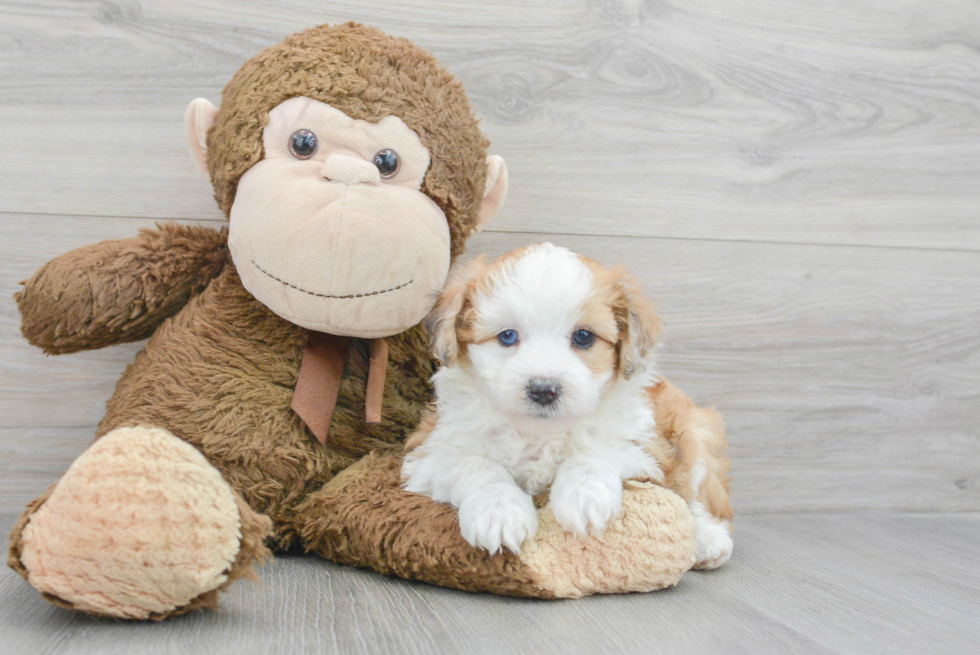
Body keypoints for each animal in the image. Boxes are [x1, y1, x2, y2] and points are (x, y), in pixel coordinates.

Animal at [402, 243, 732, 572]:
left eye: (583, 337)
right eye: (507, 336)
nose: (543, 389)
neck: (540, 431)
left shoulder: (647, 450)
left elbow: (594, 453)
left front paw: (585, 496)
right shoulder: (430, 453)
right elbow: (478, 466)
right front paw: (499, 511)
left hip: (694, 431)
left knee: (695, 496)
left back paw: (709, 540)